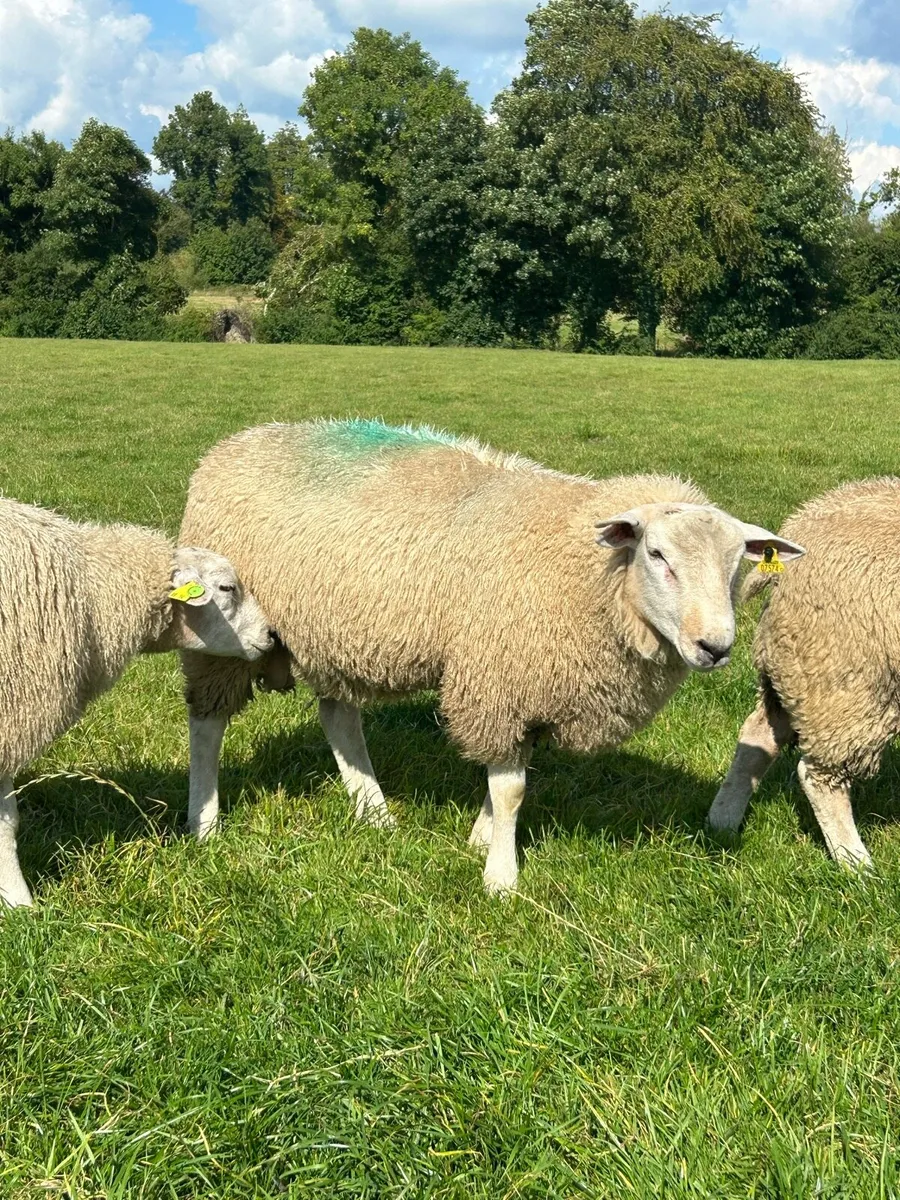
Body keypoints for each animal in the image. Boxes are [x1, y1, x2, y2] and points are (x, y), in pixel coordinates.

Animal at [0, 496, 275, 908]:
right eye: (227, 587)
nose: (271, 634)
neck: (92, 594)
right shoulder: (9, 719)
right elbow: (6, 825)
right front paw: (21, 905)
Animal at [178, 419, 803, 893]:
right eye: (657, 555)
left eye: (737, 563)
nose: (716, 647)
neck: (583, 568)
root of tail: (234, 442)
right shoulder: (498, 678)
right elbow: (513, 788)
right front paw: (500, 875)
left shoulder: (532, 683)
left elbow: (514, 773)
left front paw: (481, 836)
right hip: (225, 636)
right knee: (208, 724)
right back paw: (204, 821)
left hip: (336, 633)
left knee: (339, 717)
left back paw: (373, 810)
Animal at [707, 477, 899, 869]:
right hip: (850, 681)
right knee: (818, 776)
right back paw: (856, 864)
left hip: (795, 669)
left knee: (757, 737)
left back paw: (722, 821)